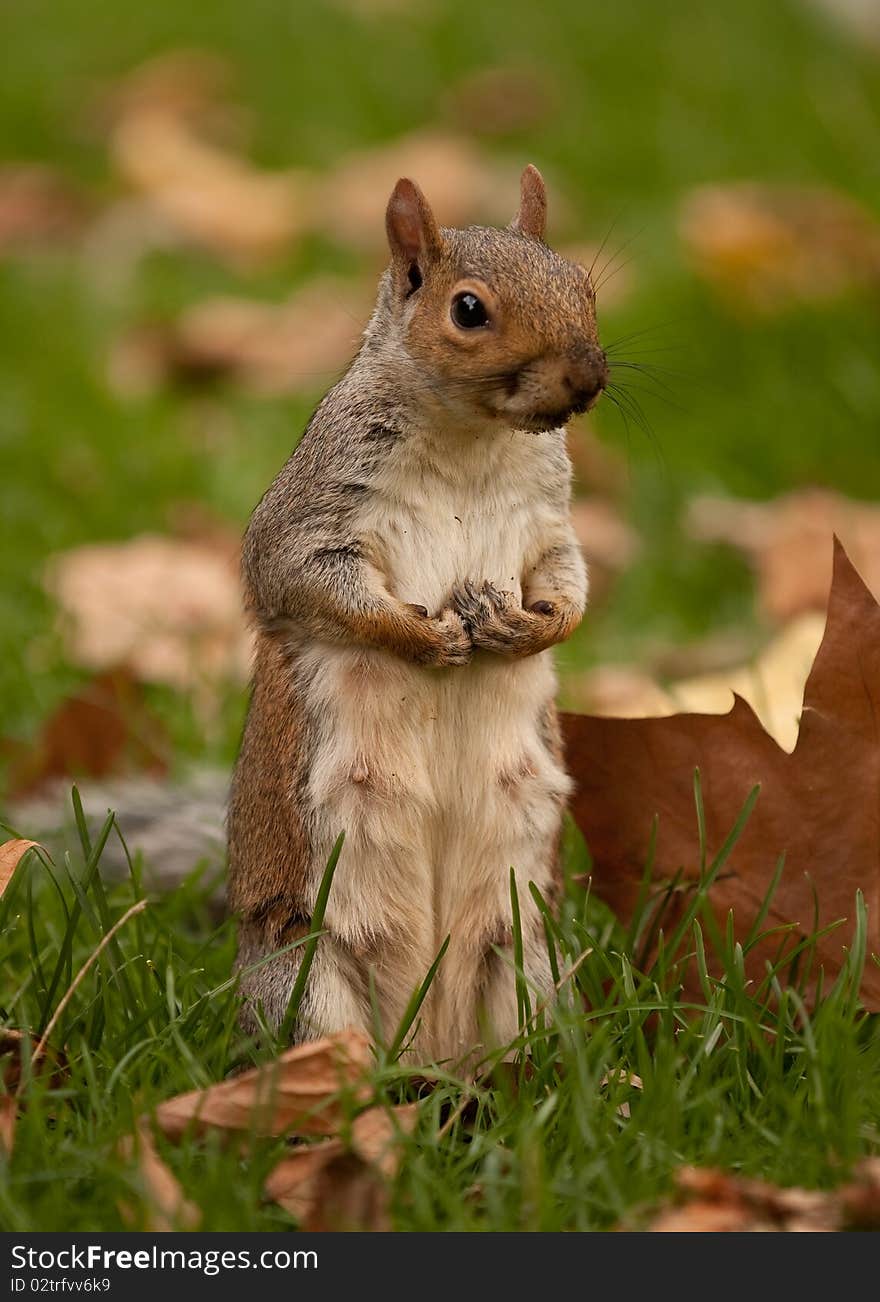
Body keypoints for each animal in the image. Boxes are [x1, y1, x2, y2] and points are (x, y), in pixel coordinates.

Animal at [226, 165, 604, 1057]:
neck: (472, 439)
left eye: (582, 286)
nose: (588, 379)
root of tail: (429, 1047)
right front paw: (424, 637)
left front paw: (526, 627)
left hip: (526, 957)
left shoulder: (549, 528)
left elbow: (569, 585)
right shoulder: (314, 514)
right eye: (467, 310)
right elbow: (301, 580)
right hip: (303, 973)